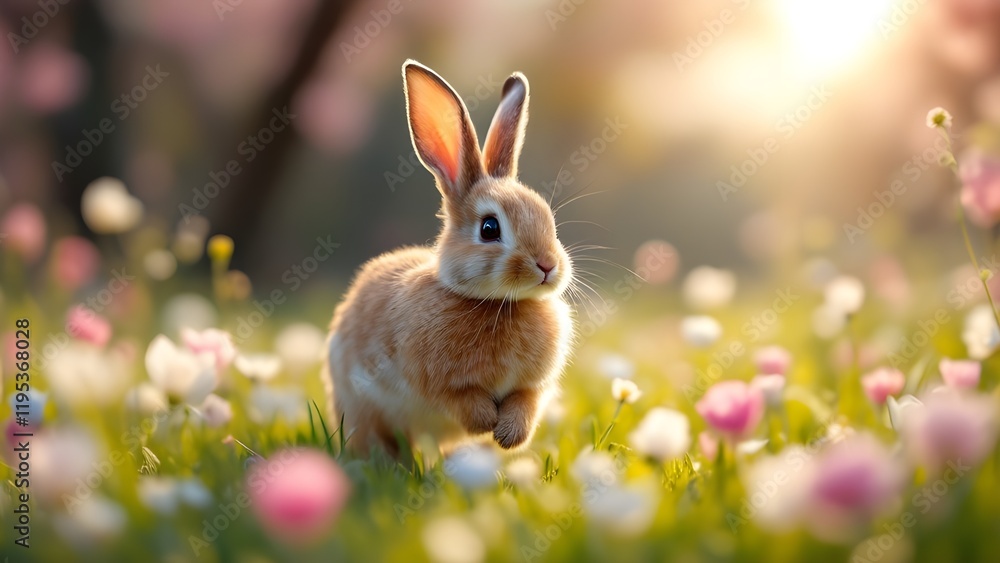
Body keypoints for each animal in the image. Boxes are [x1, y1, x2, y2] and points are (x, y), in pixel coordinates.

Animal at [322, 60, 575, 456]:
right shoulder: (436, 385)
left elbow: (526, 403)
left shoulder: (532, 388)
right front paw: (487, 422)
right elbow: (460, 400)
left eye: (547, 218)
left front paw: (508, 435)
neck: (500, 303)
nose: (548, 266)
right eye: (489, 228)